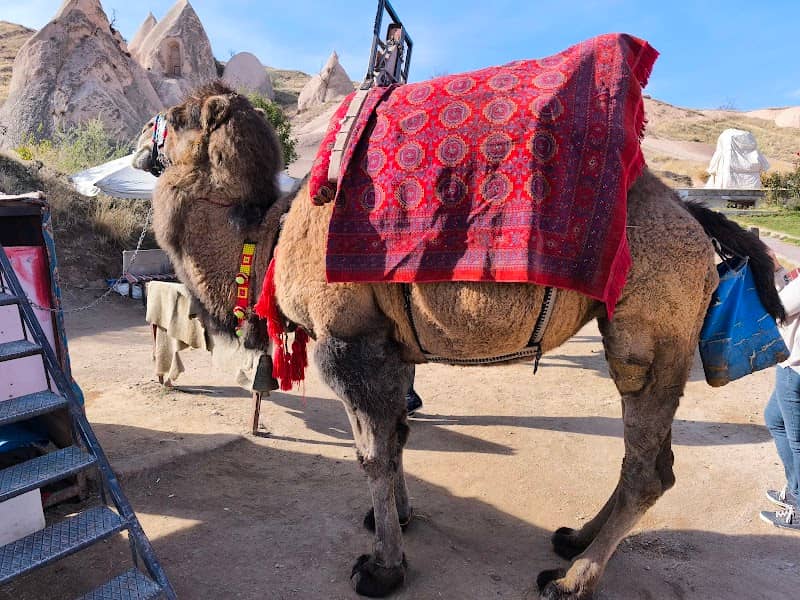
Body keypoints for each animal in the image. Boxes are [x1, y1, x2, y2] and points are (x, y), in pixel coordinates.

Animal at [132, 81, 784, 599]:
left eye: (177, 114)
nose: (140, 137)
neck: (268, 235)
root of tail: (691, 216)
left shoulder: (346, 342)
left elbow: (371, 453)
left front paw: (382, 569)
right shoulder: (390, 344)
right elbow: (397, 437)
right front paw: (394, 520)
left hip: (649, 329)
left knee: (651, 466)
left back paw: (571, 581)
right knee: (643, 459)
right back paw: (574, 538)